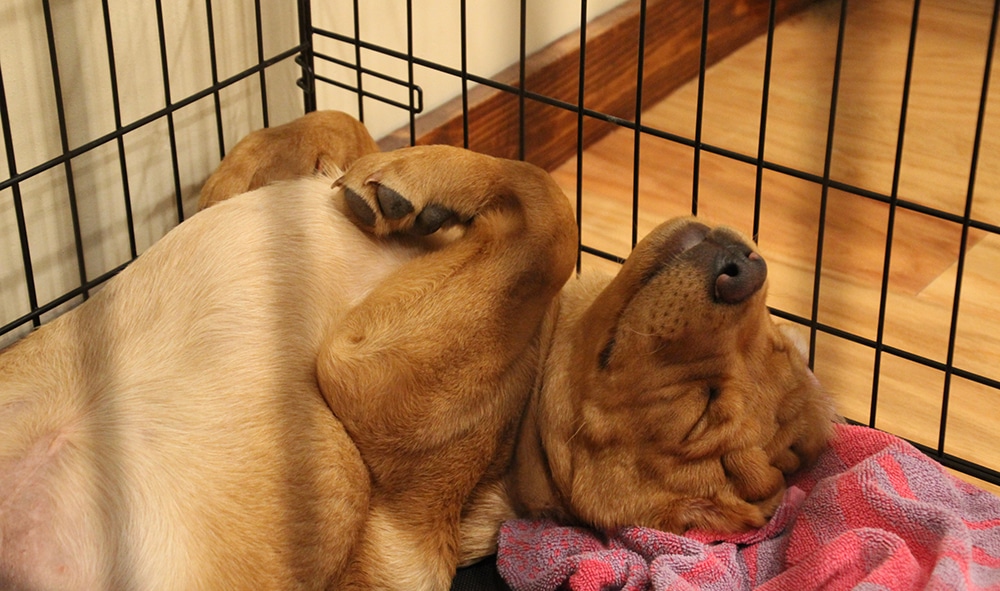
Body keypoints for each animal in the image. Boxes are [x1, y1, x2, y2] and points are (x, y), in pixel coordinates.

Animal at [0, 112, 836, 591]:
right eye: (774, 341)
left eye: (699, 414)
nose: (744, 269)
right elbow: (342, 127)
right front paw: (395, 172)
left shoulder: (369, 376)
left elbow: (552, 213)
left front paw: (423, 176)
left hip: (333, 463)